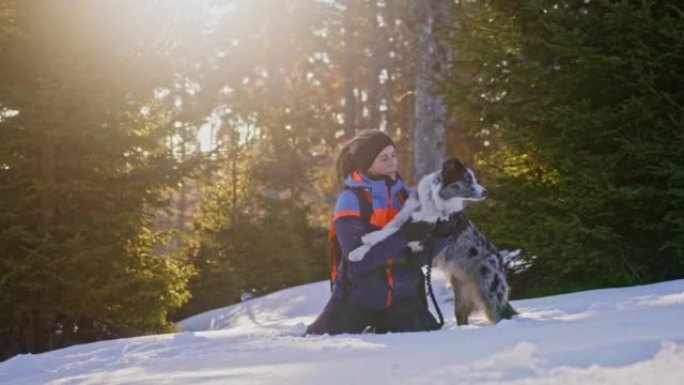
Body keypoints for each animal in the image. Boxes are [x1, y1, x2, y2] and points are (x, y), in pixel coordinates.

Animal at [350, 158, 516, 324]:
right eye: (467, 179)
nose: (486, 192)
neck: (434, 202)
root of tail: (499, 260)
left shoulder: (422, 234)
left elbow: (394, 232)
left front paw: (368, 239)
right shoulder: (405, 218)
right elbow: (389, 230)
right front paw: (358, 251)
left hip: (489, 292)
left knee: (501, 314)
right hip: (461, 292)